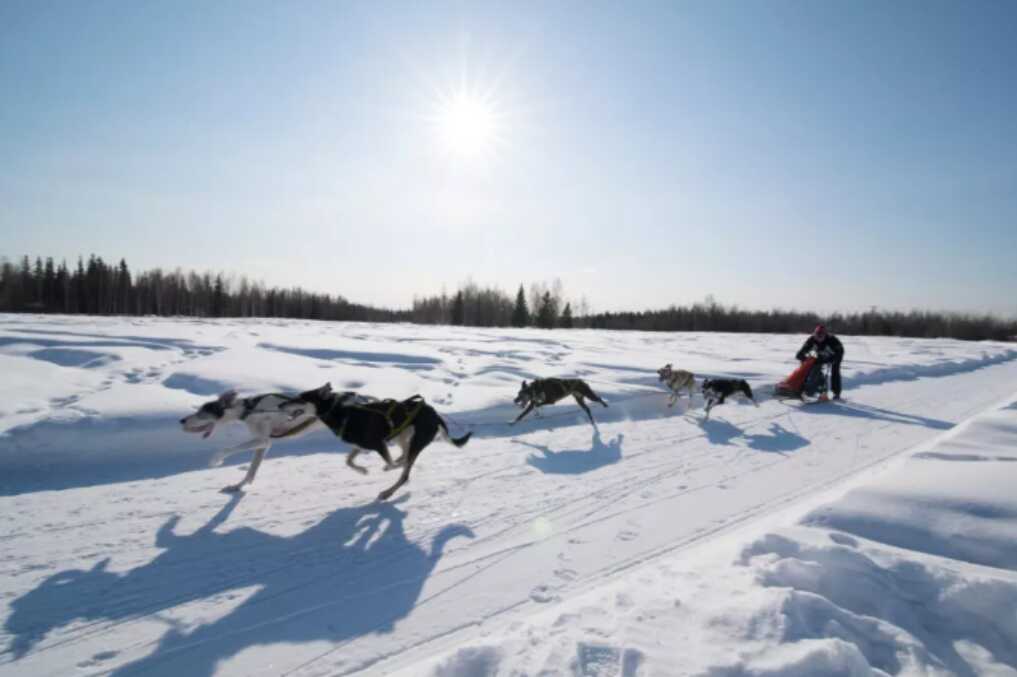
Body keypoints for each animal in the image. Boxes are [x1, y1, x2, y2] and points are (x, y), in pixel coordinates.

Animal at [181, 384, 376, 489]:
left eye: (202, 412)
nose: (181, 420)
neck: (250, 410)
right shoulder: (263, 445)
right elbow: (251, 471)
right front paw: (240, 485)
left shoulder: (262, 440)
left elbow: (229, 448)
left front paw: (216, 460)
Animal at [282, 382, 471, 498]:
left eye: (300, 397)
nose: (279, 405)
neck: (344, 414)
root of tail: (436, 415)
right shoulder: (362, 446)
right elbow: (348, 461)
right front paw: (362, 470)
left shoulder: (378, 444)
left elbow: (392, 465)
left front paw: (389, 467)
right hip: (402, 435)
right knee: (404, 455)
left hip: (414, 441)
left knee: (404, 473)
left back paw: (387, 492)